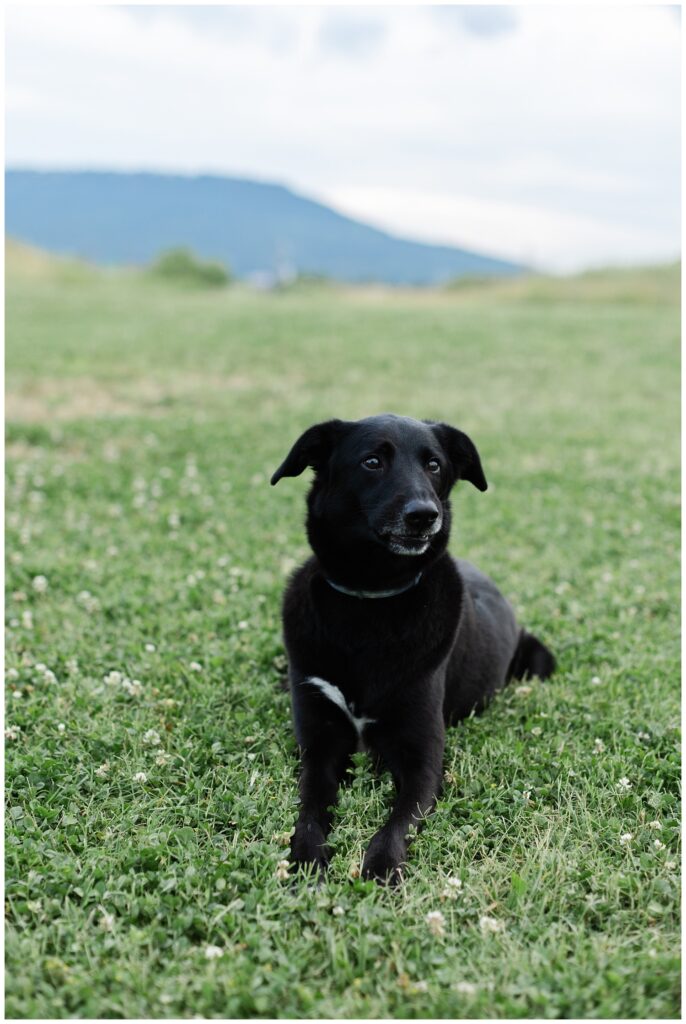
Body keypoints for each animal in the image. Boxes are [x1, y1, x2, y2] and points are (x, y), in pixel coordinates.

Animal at [272, 413, 556, 880]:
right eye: (372, 461)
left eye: (434, 465)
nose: (425, 515)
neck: (370, 600)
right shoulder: (319, 746)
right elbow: (310, 809)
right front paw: (307, 858)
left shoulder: (422, 758)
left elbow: (398, 822)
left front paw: (381, 867)